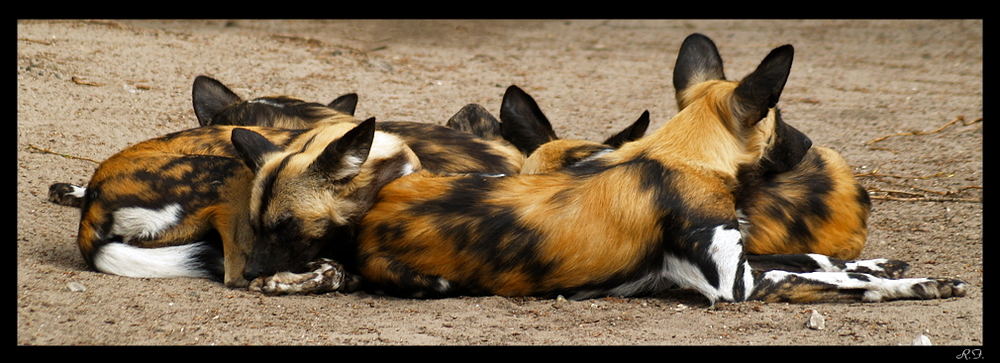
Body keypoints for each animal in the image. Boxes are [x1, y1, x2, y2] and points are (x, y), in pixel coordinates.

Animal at [238, 36, 964, 304]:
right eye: (781, 120)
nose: (812, 145)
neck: (680, 157)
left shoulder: (742, 257)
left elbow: (820, 261)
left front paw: (894, 269)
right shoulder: (735, 284)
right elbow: (818, 274)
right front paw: (908, 285)